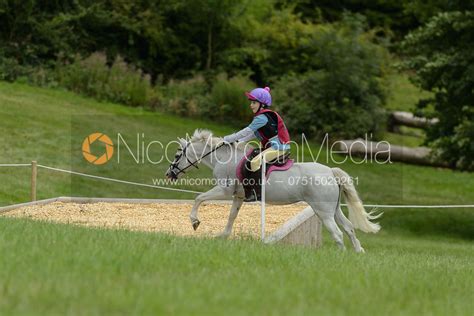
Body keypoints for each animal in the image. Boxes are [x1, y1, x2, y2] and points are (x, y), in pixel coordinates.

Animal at [167, 129, 382, 252]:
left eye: (178, 155)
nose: (169, 174)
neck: (223, 158)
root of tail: (330, 171)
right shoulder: (238, 196)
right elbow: (231, 216)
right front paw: (223, 236)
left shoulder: (224, 191)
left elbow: (199, 198)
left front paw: (194, 222)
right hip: (333, 210)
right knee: (349, 228)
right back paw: (358, 253)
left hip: (323, 212)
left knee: (337, 233)